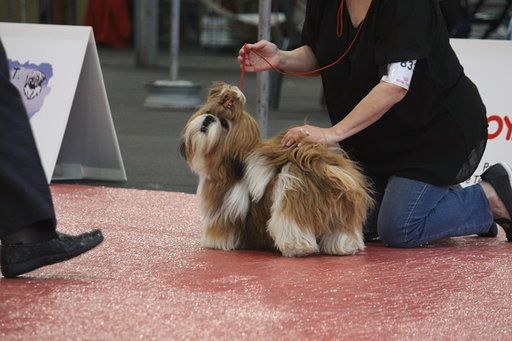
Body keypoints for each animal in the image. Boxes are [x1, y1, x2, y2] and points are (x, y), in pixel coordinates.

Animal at [182, 82, 374, 256]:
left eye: (223, 123)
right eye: (209, 112)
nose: (208, 119)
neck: (228, 167)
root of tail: (317, 164)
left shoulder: (223, 210)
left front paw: (215, 242)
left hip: (290, 204)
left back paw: (297, 248)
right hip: (341, 214)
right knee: (342, 231)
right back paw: (344, 247)